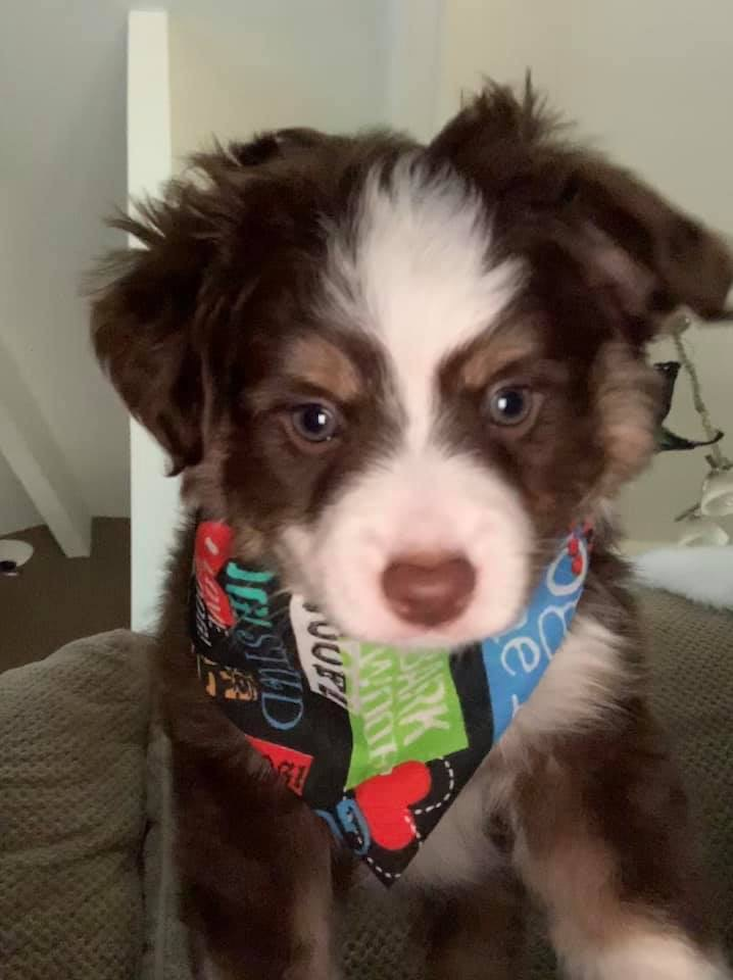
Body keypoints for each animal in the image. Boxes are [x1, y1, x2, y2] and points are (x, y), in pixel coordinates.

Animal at [91, 84, 732, 980]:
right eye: (313, 418)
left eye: (509, 401)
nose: (430, 588)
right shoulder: (241, 803)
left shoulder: (590, 732)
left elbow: (639, 929)